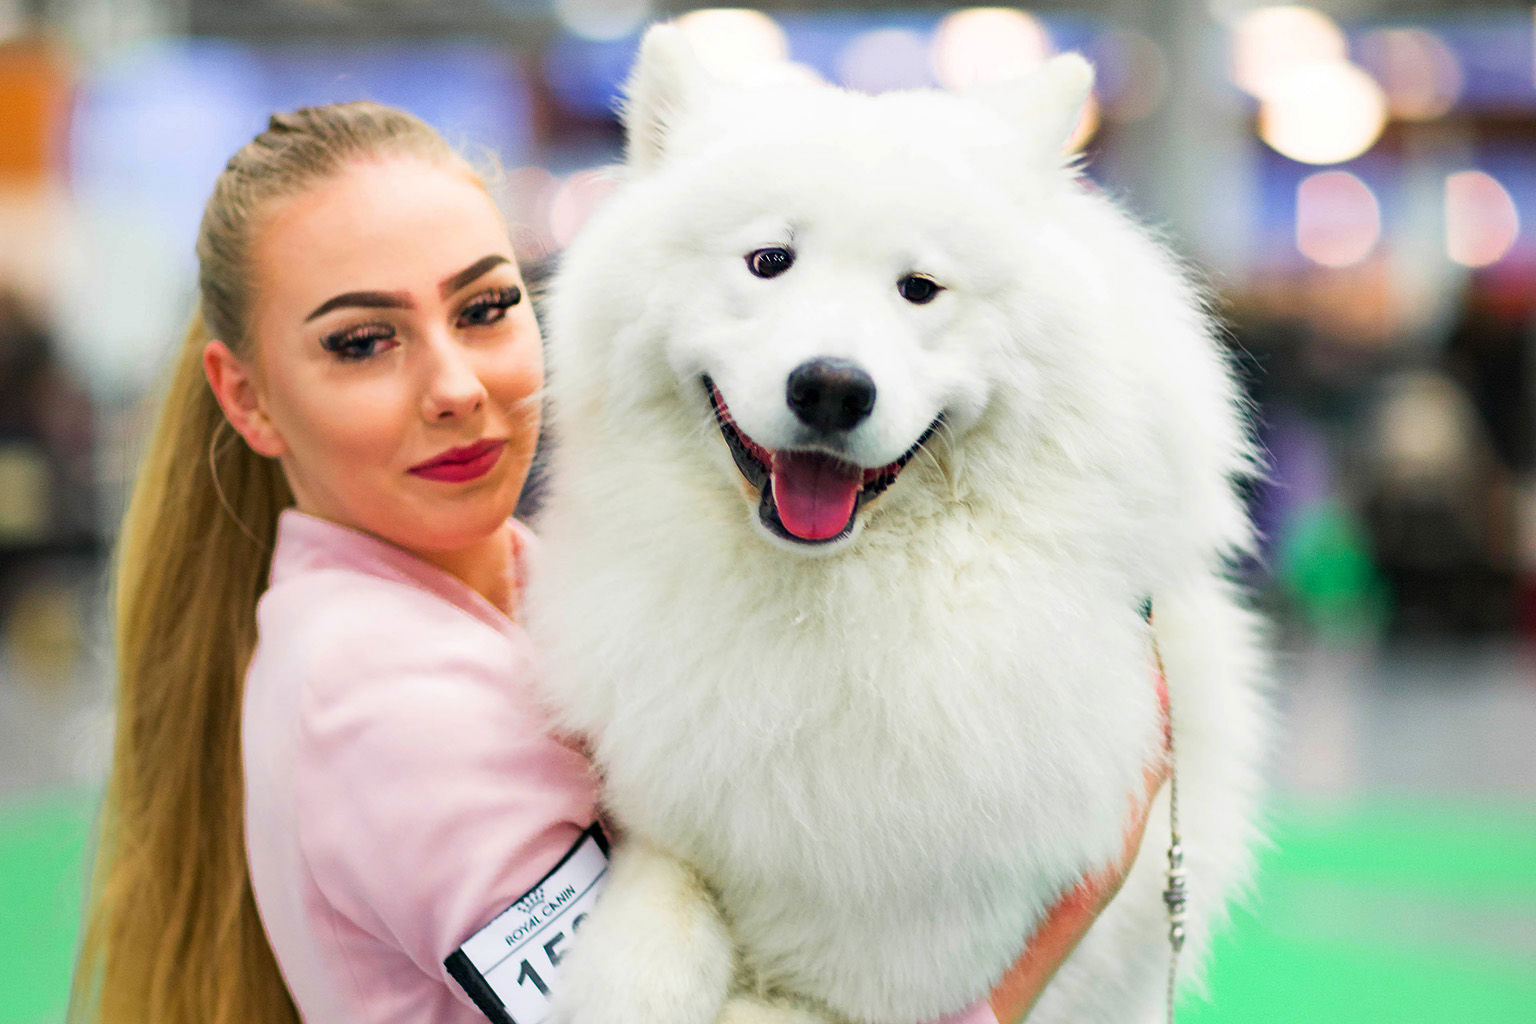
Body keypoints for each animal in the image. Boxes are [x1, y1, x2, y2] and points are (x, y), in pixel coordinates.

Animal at [528, 22, 1271, 1024]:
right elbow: (660, 896)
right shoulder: (670, 804)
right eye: (769, 261)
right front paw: (628, 975)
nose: (832, 387)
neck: (832, 603)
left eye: (920, 289)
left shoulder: (902, 970)